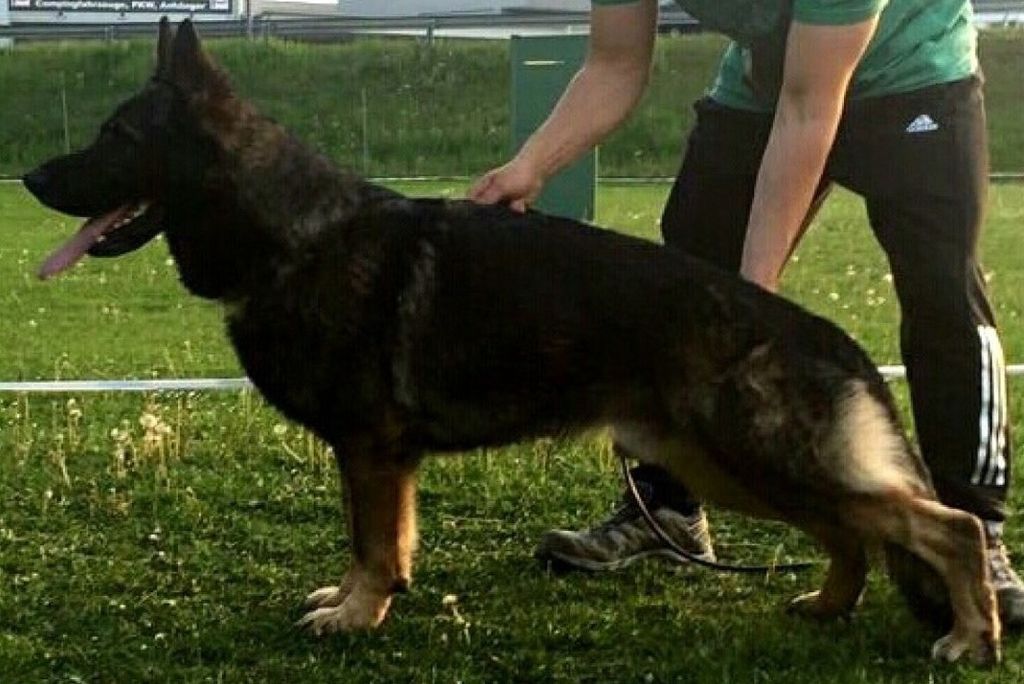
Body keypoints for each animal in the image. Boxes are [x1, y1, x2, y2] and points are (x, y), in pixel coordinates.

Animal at [22, 19, 1000, 664]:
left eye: (116, 136)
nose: (29, 176)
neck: (291, 233)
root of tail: (820, 331)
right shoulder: (372, 456)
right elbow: (375, 541)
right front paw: (355, 601)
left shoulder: (372, 450)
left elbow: (375, 544)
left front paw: (357, 615)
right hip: (729, 465)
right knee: (852, 534)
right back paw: (829, 606)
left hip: (756, 456)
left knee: (941, 525)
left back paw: (970, 632)